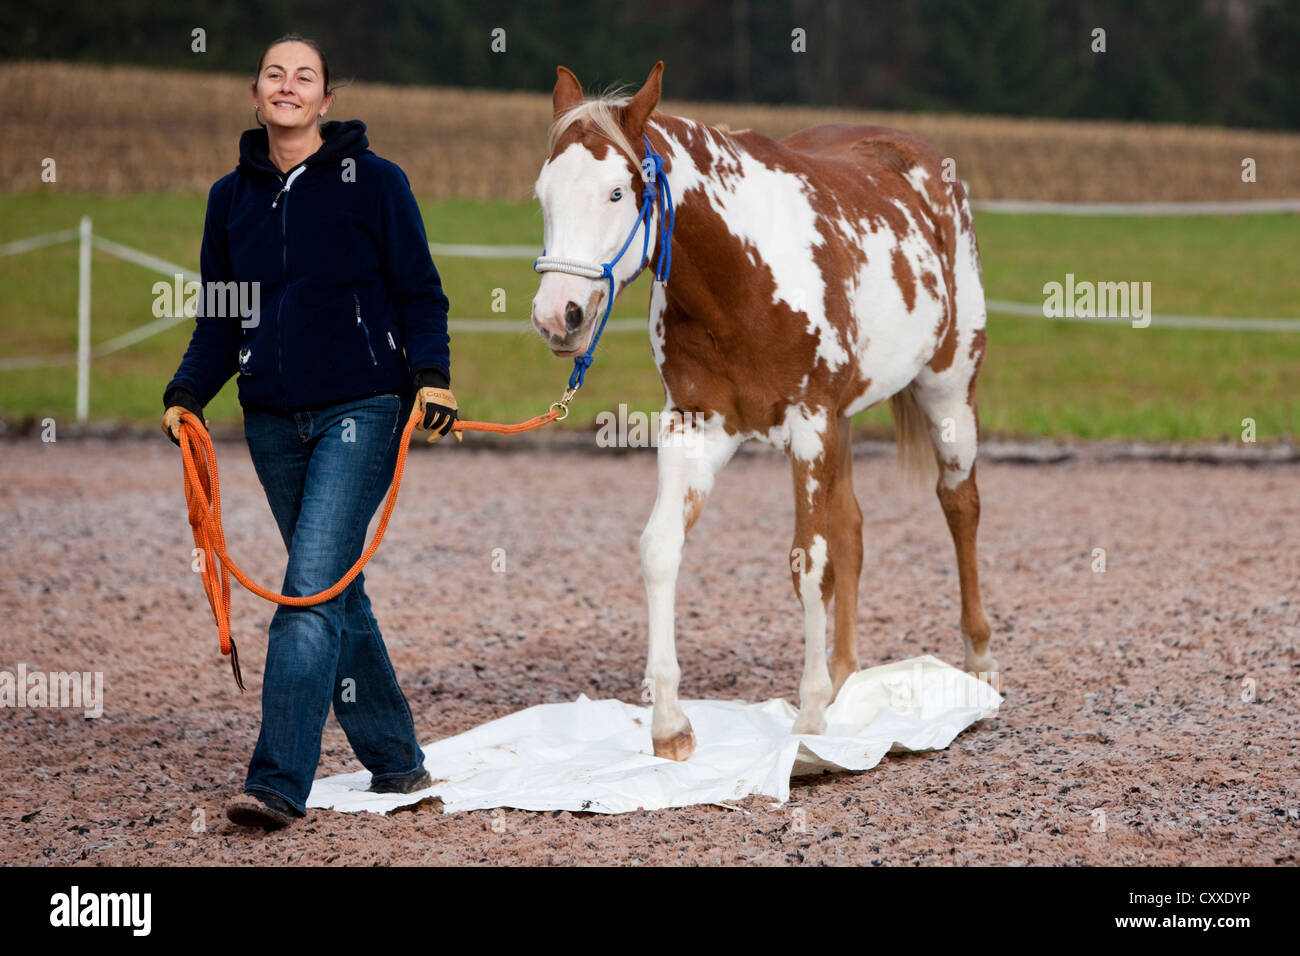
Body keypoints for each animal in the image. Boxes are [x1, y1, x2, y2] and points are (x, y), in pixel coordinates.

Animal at [527, 61, 993, 764]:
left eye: (616, 193)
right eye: (543, 195)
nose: (560, 316)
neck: (742, 278)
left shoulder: (809, 425)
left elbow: (808, 563)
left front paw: (810, 718)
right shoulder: (696, 428)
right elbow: (660, 549)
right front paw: (671, 725)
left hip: (947, 391)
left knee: (959, 506)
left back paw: (978, 664)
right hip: (844, 421)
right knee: (852, 529)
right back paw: (847, 676)